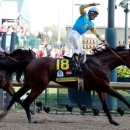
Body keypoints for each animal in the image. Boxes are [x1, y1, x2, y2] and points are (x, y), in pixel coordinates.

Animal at [1, 45, 130, 126]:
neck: (102, 63)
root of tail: (30, 62)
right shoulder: (104, 86)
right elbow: (121, 97)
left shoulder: (100, 87)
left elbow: (106, 105)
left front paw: (113, 121)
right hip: (39, 86)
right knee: (26, 101)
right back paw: (30, 120)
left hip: (29, 84)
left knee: (16, 96)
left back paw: (3, 114)